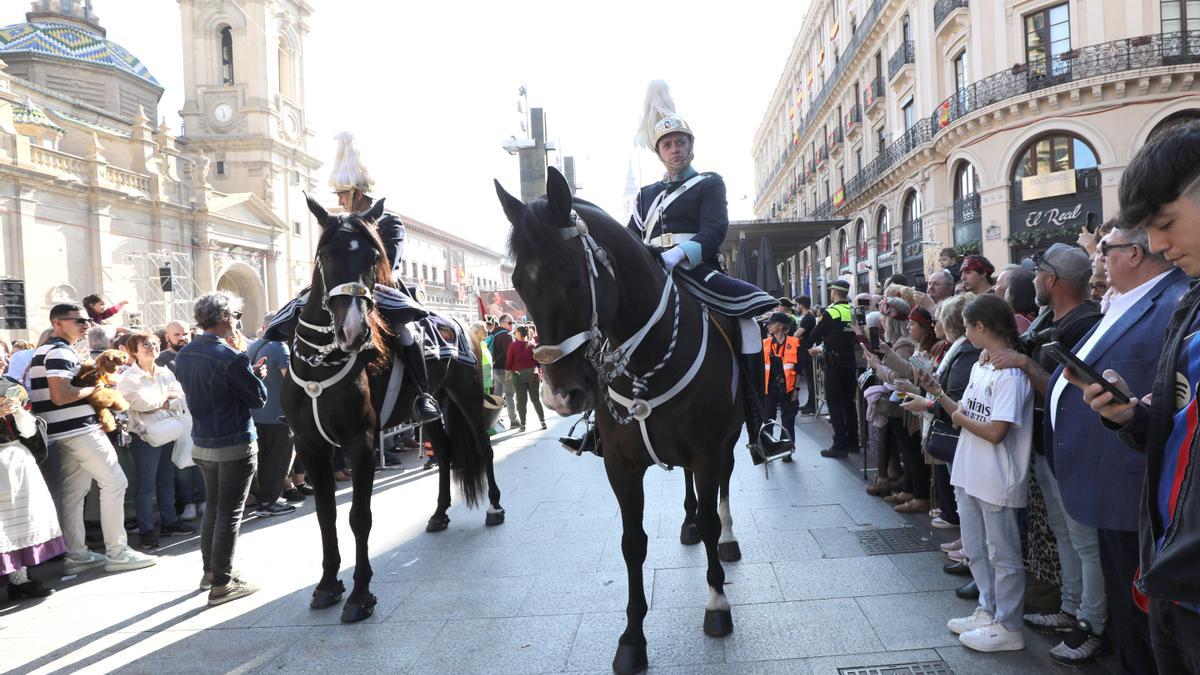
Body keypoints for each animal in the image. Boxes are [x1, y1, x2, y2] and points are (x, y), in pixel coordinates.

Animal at [283, 194, 504, 619]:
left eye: (373, 255)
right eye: (325, 254)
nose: (354, 331)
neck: (320, 363)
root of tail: (467, 324)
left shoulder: (361, 441)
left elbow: (359, 517)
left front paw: (360, 593)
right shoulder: (310, 445)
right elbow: (325, 515)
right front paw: (327, 584)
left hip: (466, 395)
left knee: (482, 448)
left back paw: (495, 508)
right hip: (431, 409)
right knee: (444, 451)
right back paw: (438, 514)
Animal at [494, 169, 739, 672]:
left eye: (572, 278)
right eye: (518, 284)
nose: (560, 395)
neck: (649, 356)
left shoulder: (707, 452)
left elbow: (710, 515)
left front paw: (717, 602)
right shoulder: (621, 466)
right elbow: (632, 543)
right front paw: (631, 639)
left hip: (731, 437)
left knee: (724, 489)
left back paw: (727, 536)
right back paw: (687, 524)